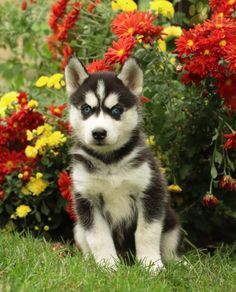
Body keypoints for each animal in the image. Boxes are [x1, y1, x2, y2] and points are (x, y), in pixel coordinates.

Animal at [64, 57, 181, 272]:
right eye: (86, 109)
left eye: (116, 110)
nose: (98, 133)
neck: (109, 161)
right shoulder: (87, 198)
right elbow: (99, 237)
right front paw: (108, 266)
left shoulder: (150, 191)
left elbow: (146, 232)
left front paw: (151, 266)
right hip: (78, 228)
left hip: (171, 221)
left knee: (169, 247)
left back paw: (177, 263)